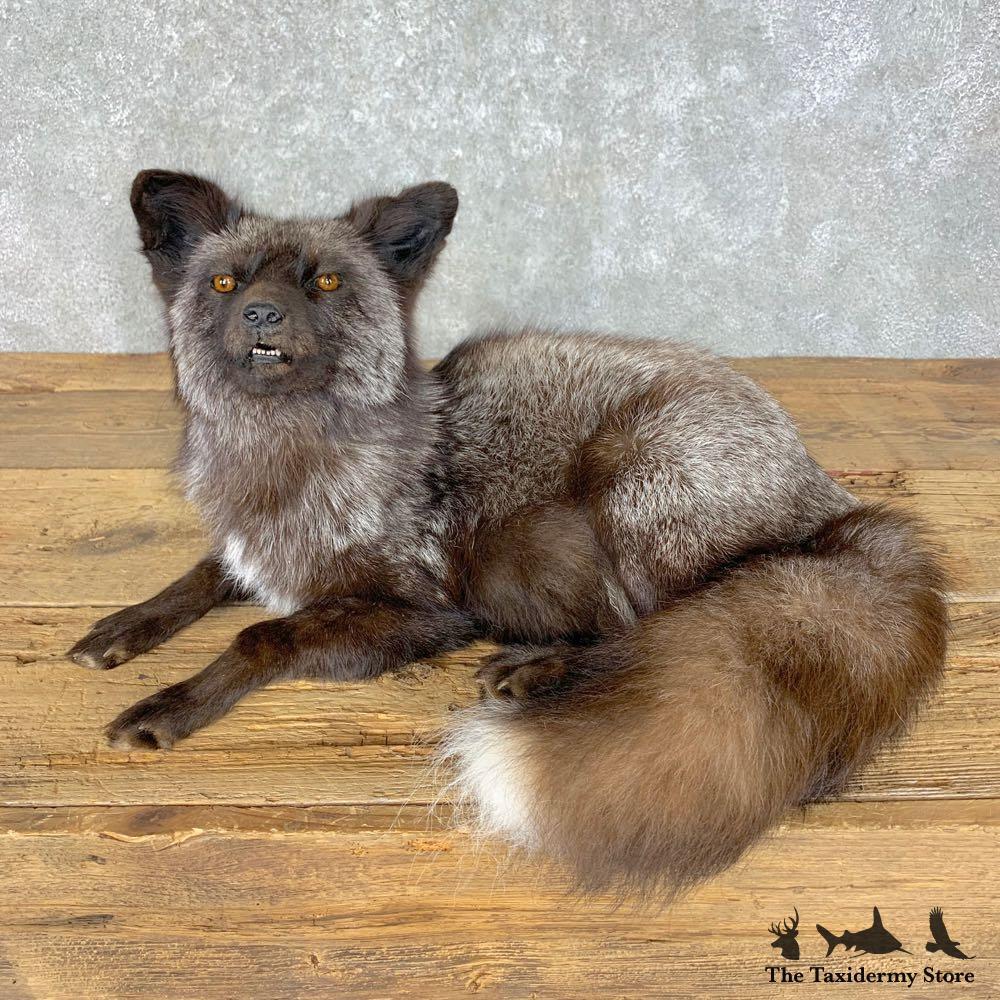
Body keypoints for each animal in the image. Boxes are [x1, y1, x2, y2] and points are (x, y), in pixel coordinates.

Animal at [68, 169, 947, 895]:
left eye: (325, 281)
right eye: (225, 281)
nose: (261, 313)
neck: (284, 459)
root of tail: (837, 507)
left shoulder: (422, 611)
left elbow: (259, 636)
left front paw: (169, 704)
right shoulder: (256, 550)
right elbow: (203, 573)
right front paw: (123, 627)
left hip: (630, 491)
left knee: (651, 626)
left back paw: (535, 668)